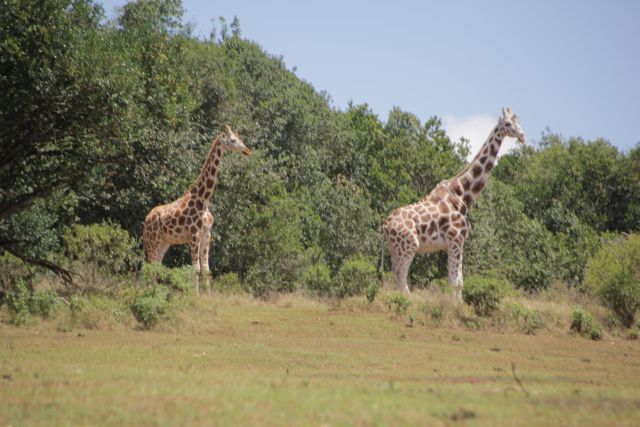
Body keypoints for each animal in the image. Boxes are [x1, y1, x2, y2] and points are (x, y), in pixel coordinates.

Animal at [142, 125, 250, 296]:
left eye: (239, 138)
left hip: (164, 242)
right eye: (233, 140)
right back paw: (151, 293)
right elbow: (196, 269)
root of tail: (146, 219)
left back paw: (155, 292)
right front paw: (195, 295)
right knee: (150, 266)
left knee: (156, 265)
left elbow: (206, 269)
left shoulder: (207, 234)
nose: (246, 150)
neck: (204, 200)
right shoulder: (194, 234)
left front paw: (208, 296)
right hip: (152, 240)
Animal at [380, 108, 524, 300]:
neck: (463, 195)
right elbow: (456, 282)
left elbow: (458, 281)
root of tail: (385, 225)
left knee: (396, 278)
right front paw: (455, 305)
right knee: (401, 279)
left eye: (518, 122)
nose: (522, 135)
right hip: (409, 246)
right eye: (508, 124)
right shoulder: (456, 239)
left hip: (395, 248)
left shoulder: (453, 243)